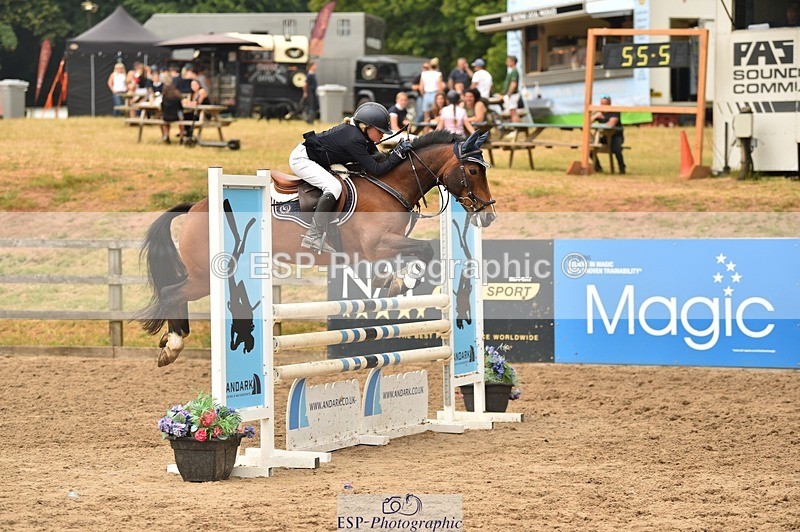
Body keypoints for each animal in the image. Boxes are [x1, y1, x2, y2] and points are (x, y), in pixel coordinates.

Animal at [138, 130, 497, 367]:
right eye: (473, 170)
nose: (489, 215)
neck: (390, 186)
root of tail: (196, 207)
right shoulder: (377, 245)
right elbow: (423, 251)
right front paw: (400, 282)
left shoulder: (377, 250)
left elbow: (413, 256)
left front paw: (388, 281)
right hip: (205, 276)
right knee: (172, 292)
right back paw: (172, 346)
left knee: (176, 293)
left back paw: (169, 342)